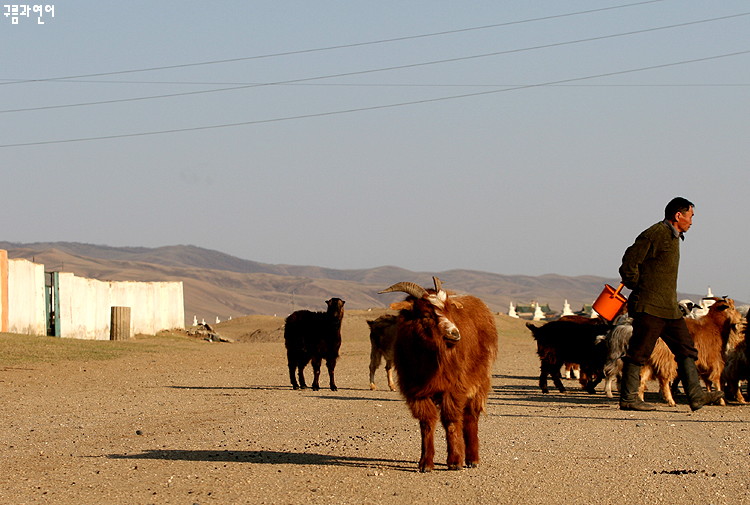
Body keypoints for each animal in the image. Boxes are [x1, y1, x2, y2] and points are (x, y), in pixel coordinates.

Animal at [382, 278, 500, 470]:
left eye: (448, 310)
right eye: (425, 314)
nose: (454, 333)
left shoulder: (454, 388)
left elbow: (451, 421)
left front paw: (455, 461)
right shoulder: (417, 392)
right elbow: (427, 423)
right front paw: (425, 462)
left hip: (480, 381)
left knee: (470, 417)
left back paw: (472, 459)